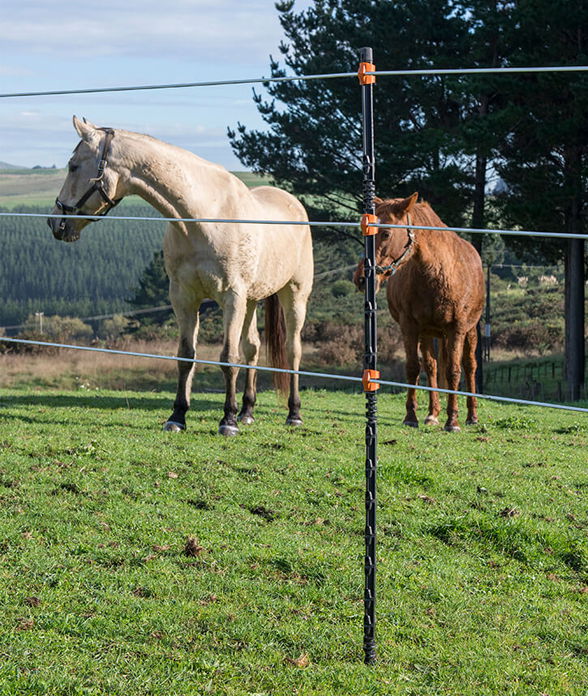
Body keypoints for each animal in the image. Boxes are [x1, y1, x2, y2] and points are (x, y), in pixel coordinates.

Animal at [50, 118, 314, 436]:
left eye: (74, 166)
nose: (55, 222)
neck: (204, 218)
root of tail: (294, 204)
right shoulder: (185, 298)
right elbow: (186, 355)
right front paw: (178, 415)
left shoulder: (231, 298)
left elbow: (228, 357)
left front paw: (228, 420)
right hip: (251, 301)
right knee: (252, 347)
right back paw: (248, 411)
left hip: (294, 294)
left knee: (293, 350)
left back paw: (294, 413)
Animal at [354, 194, 482, 430]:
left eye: (386, 233)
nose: (361, 278)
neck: (439, 272)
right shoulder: (411, 327)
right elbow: (414, 368)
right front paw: (411, 416)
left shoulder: (457, 329)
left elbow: (454, 371)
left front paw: (453, 421)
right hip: (428, 333)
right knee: (432, 367)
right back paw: (432, 414)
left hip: (469, 331)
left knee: (470, 366)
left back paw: (472, 416)